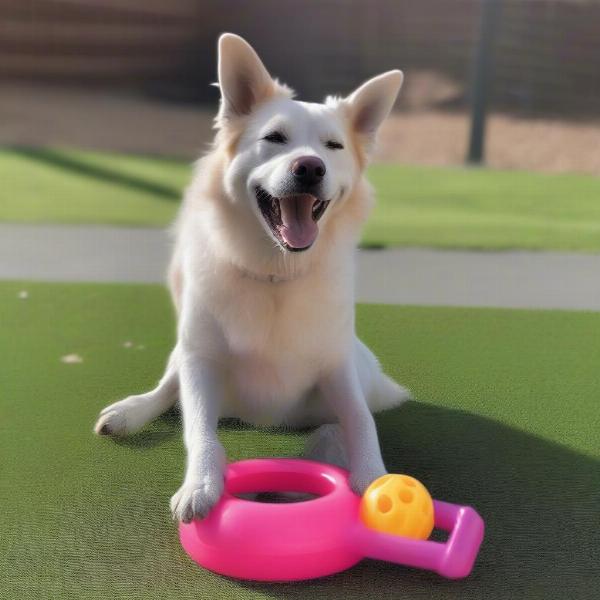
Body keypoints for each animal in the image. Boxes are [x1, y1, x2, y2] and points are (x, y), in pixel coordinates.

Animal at [95, 34, 412, 520]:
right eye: (275, 139)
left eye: (333, 146)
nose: (309, 167)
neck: (274, 273)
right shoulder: (201, 362)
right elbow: (199, 432)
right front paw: (202, 483)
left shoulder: (338, 369)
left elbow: (359, 423)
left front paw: (375, 482)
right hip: (186, 354)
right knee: (169, 389)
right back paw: (130, 412)